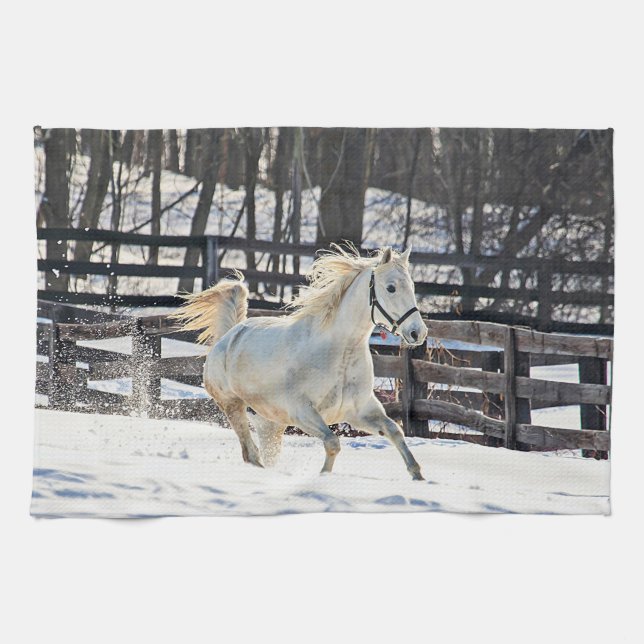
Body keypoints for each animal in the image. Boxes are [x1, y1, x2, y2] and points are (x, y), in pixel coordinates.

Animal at [170, 244, 428, 480]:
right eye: (391, 288)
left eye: (412, 287)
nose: (418, 332)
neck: (339, 353)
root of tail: (228, 336)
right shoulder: (302, 412)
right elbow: (333, 443)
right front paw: (323, 477)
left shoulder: (361, 411)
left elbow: (395, 431)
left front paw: (418, 477)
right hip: (232, 406)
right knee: (250, 453)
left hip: (270, 423)